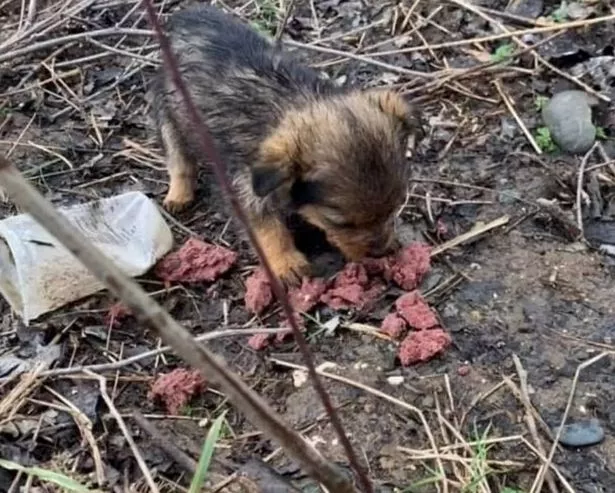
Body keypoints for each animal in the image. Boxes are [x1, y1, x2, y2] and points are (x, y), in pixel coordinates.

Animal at [151, 3, 422, 282]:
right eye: (341, 222)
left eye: (394, 208)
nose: (379, 253)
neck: (296, 103)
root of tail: (188, 15)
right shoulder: (247, 189)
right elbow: (268, 228)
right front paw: (286, 262)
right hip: (168, 114)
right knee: (179, 160)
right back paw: (179, 194)